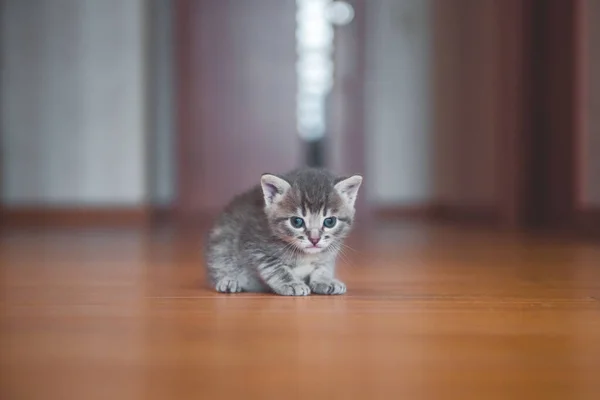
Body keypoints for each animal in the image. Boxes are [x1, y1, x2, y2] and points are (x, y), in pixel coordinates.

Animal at [204, 167, 360, 296]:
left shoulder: (328, 252)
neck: (305, 255)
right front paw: (291, 283)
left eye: (330, 222)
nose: (314, 239)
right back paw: (228, 280)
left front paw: (325, 280)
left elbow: (323, 267)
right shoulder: (254, 245)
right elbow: (277, 269)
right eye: (296, 222)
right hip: (221, 246)